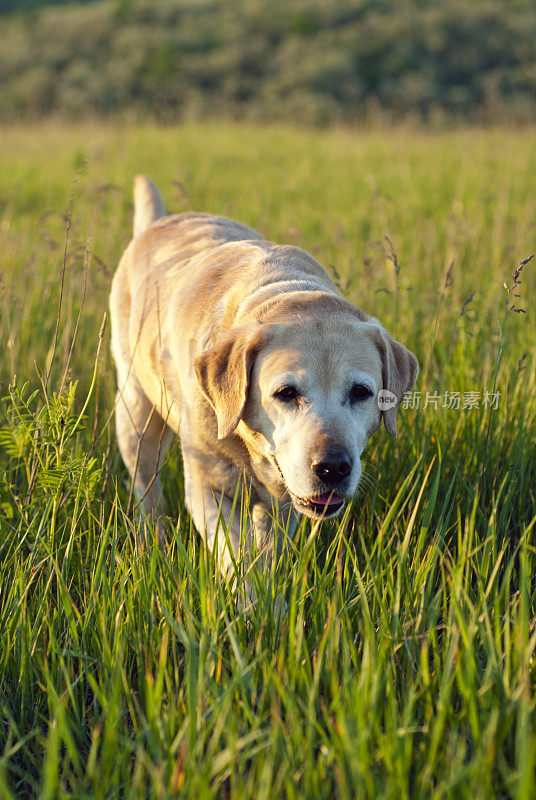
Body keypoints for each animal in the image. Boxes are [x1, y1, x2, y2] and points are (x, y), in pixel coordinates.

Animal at [109, 173, 418, 576]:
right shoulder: (208, 487)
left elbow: (268, 552)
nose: (333, 468)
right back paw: (152, 545)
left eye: (361, 392)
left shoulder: (283, 502)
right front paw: (246, 592)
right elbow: (235, 557)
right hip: (135, 417)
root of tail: (159, 222)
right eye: (286, 393)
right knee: (148, 492)